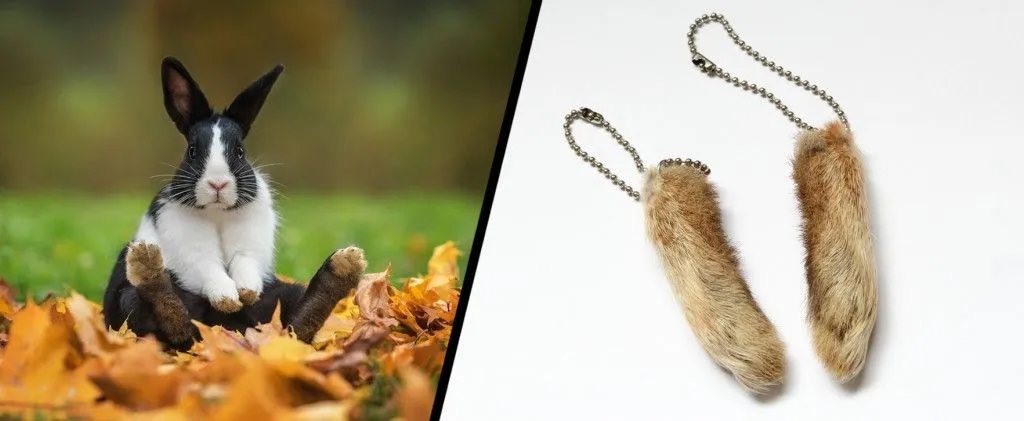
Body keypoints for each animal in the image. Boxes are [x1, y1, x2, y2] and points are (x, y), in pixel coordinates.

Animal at [102, 57, 364, 350]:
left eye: (240, 151)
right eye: (192, 151)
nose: (218, 184)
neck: (217, 214)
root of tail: (229, 330)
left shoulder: (250, 247)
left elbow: (244, 262)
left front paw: (246, 292)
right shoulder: (191, 251)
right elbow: (209, 268)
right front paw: (228, 298)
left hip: (283, 294)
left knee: (297, 326)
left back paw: (342, 268)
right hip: (129, 299)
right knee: (174, 322)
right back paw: (147, 265)